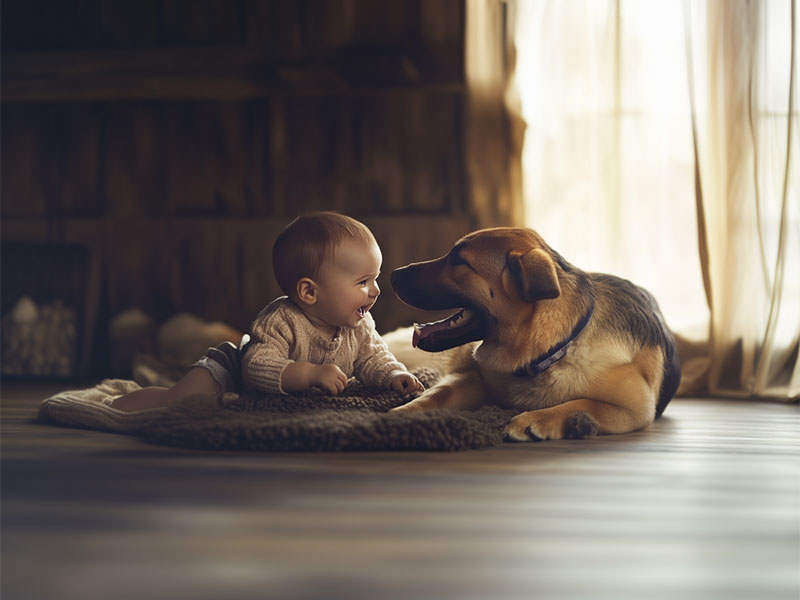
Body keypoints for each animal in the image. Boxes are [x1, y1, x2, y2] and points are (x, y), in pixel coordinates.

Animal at [390, 227, 680, 442]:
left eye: (459, 261)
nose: (392, 274)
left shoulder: (636, 408)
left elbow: (584, 403)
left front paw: (537, 418)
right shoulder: (470, 377)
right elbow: (438, 393)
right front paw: (403, 412)